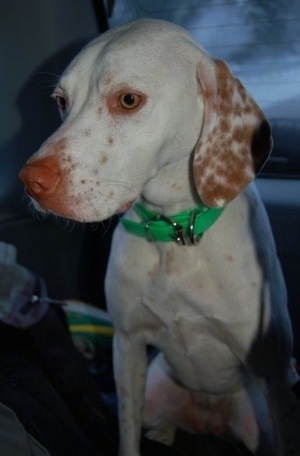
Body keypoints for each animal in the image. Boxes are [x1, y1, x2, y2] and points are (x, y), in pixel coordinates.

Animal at [19, 18, 300, 456]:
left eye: (128, 100)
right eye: (61, 100)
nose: (31, 181)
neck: (177, 233)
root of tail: (208, 420)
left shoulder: (271, 374)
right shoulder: (128, 347)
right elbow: (127, 432)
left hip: (261, 421)